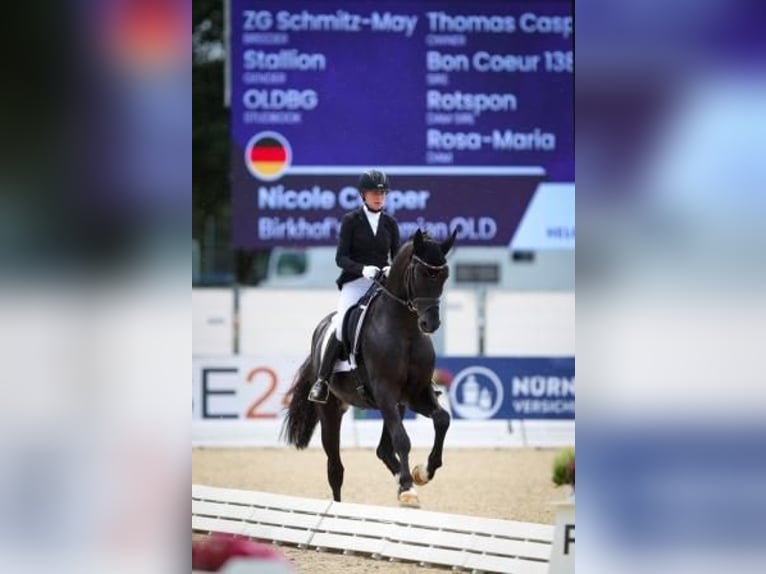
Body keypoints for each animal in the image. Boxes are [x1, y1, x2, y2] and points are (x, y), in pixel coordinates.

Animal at [284, 230, 456, 508]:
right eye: (420, 273)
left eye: (444, 275)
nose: (430, 324)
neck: (405, 330)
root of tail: (322, 328)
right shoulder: (384, 392)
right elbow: (402, 439)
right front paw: (408, 489)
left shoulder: (415, 394)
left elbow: (442, 419)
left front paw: (422, 473)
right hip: (330, 411)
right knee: (335, 468)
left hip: (396, 405)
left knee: (383, 450)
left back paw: (403, 479)